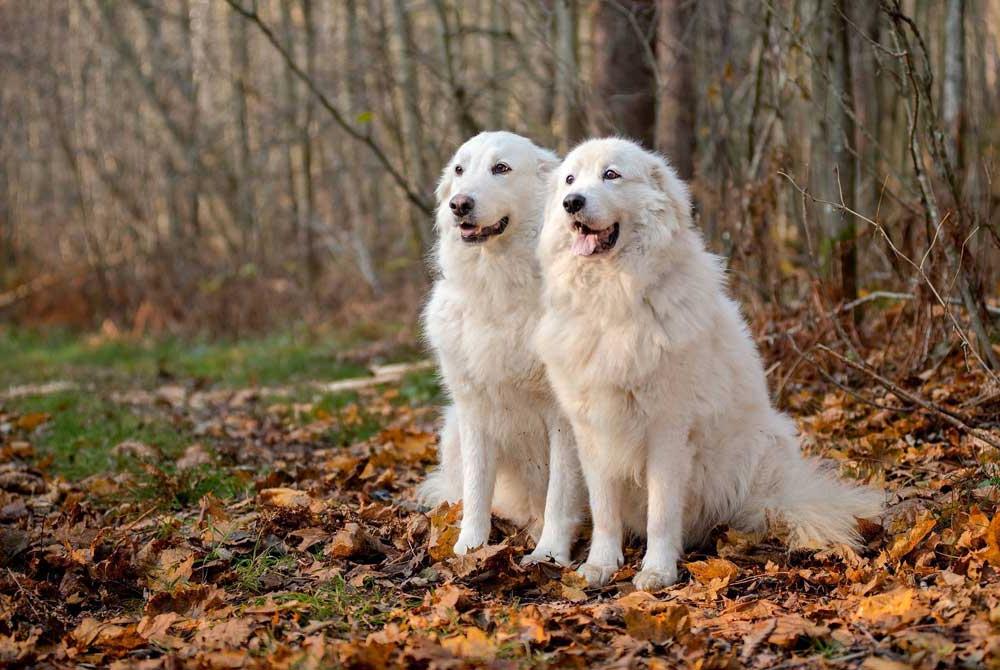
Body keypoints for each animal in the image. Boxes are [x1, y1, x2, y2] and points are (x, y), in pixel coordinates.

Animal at [418, 133, 584, 568]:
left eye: (501, 168)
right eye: (460, 170)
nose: (459, 204)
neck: (499, 284)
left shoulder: (564, 417)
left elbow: (560, 493)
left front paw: (549, 554)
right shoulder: (475, 408)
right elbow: (478, 488)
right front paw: (469, 548)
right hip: (452, 428)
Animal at [536, 139, 880, 592]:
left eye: (611, 175)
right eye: (570, 179)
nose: (572, 202)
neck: (613, 299)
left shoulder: (667, 429)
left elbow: (662, 512)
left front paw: (657, 571)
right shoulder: (593, 431)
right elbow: (605, 509)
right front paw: (601, 565)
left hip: (759, 449)